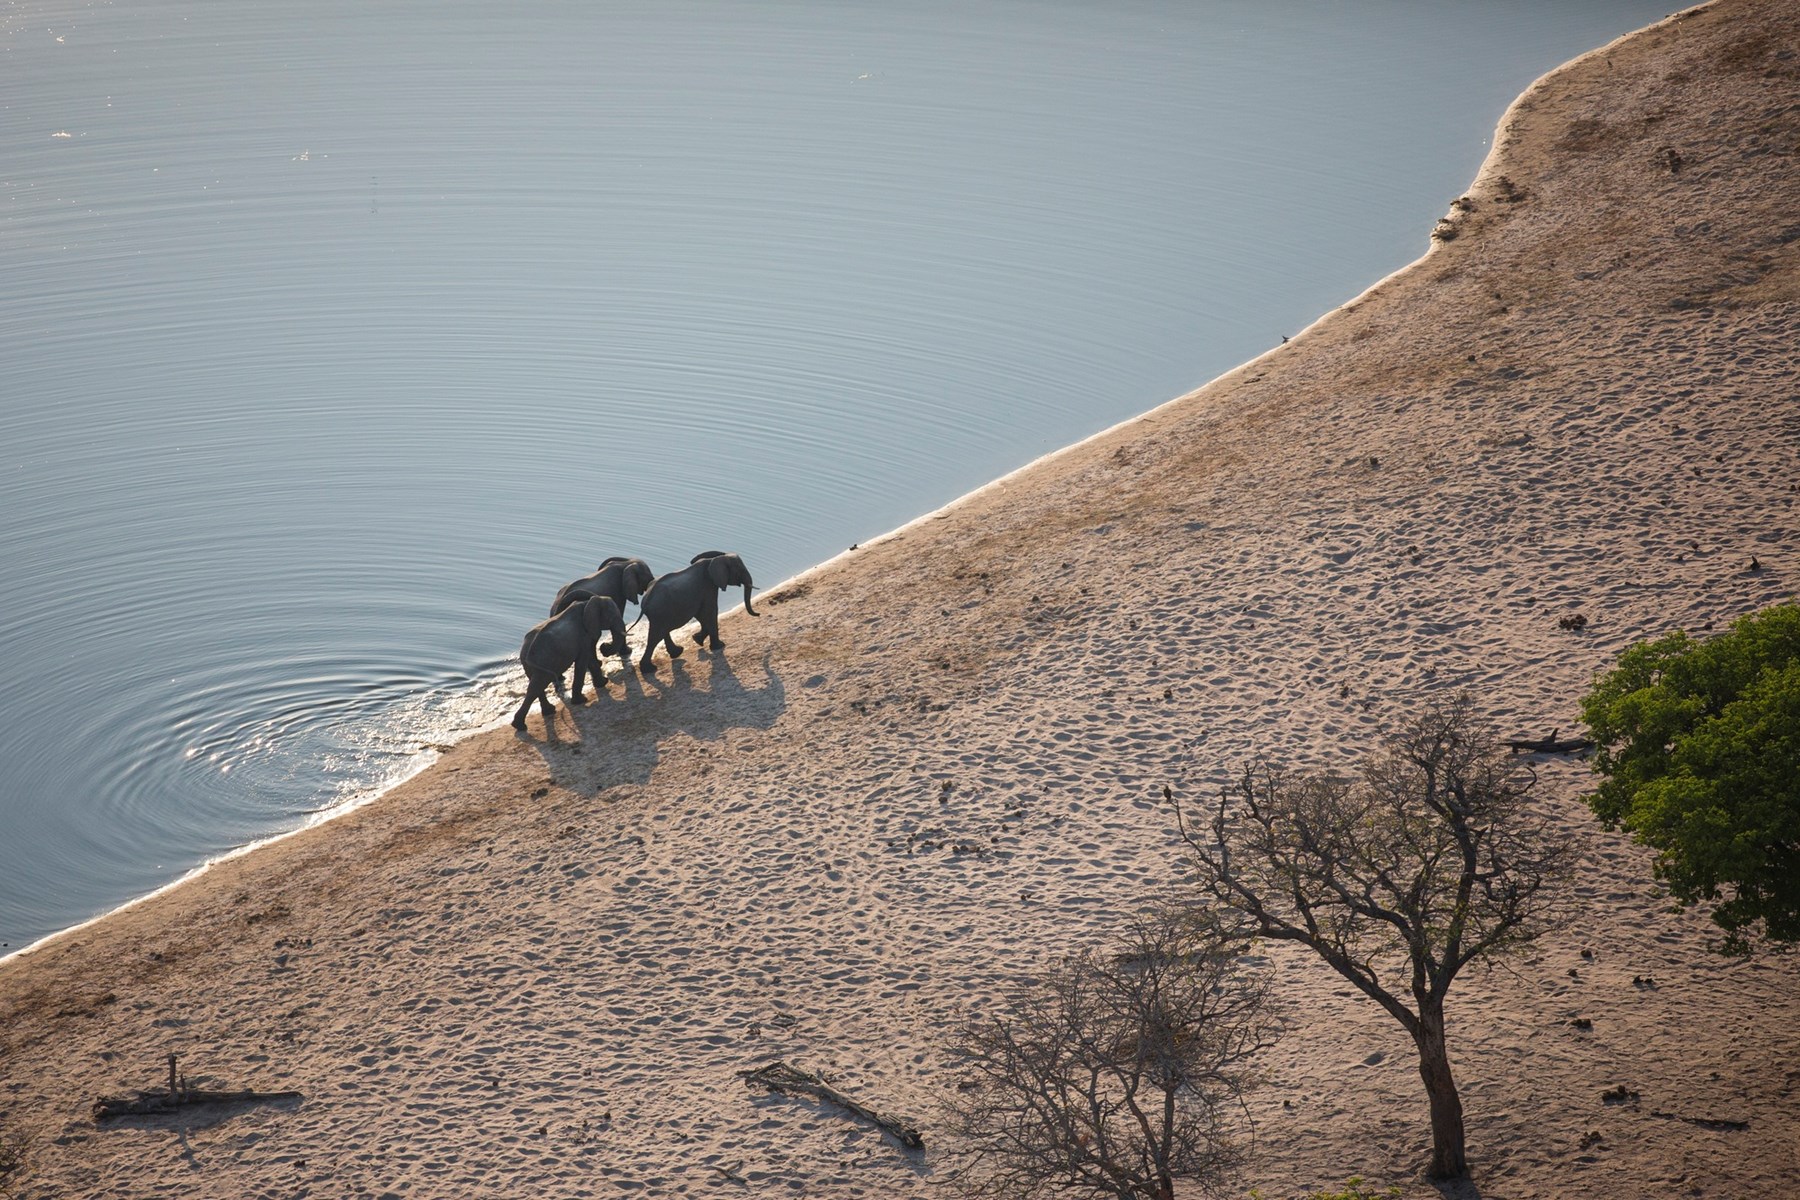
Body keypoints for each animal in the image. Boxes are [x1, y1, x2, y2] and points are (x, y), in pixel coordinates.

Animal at [511, 594, 630, 731]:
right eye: (612, 616)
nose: (604, 646)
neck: (588, 602)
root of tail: (525, 649)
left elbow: (588, 658)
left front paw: (603, 683)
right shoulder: (583, 635)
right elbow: (584, 660)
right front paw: (581, 700)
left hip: (533, 664)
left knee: (535, 685)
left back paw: (544, 713)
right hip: (544, 660)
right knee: (537, 685)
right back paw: (522, 725)